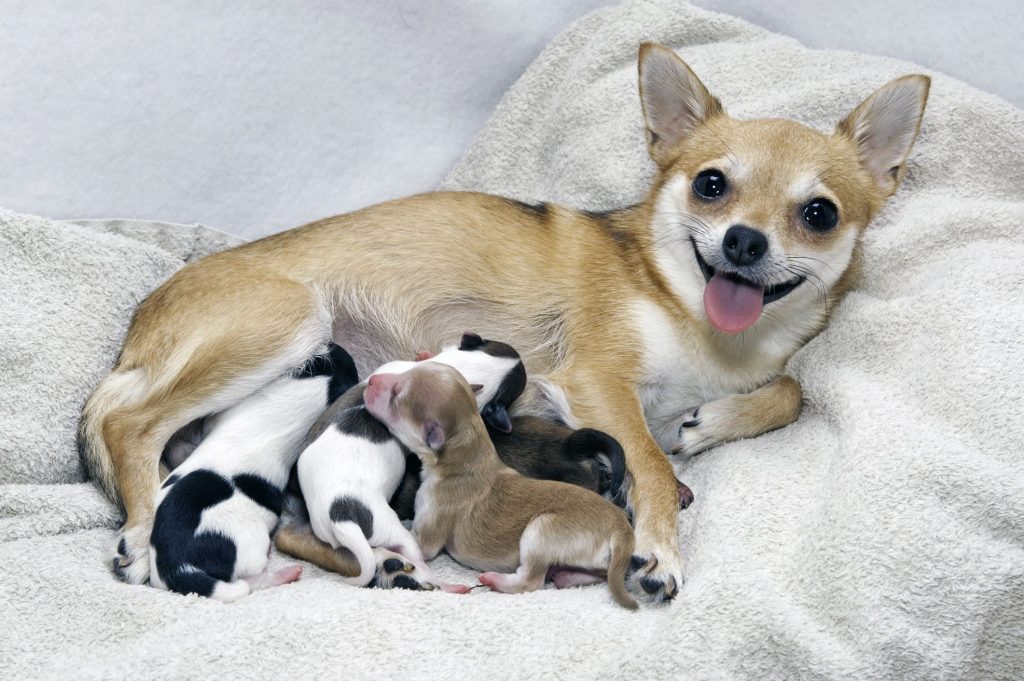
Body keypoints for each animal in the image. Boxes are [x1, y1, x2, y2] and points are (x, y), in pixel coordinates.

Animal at [368, 366, 638, 610]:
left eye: (396, 394)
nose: (371, 380)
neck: (468, 453)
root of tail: (621, 526)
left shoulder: (427, 531)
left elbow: (406, 543)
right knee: (599, 573)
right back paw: (565, 575)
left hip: (541, 529)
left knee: (531, 580)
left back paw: (495, 579)